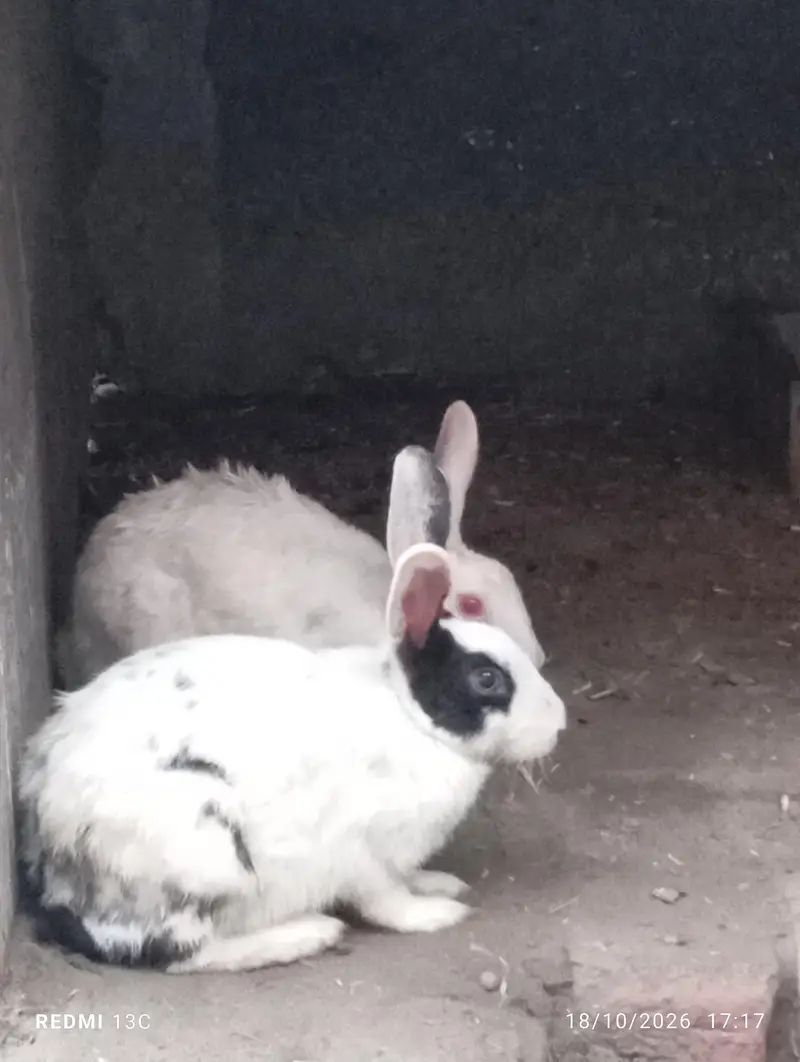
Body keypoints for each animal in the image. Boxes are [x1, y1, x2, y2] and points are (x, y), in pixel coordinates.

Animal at [19, 446, 567, 975]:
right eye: (486, 677)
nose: (558, 720)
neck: (408, 717)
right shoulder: (356, 848)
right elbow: (384, 899)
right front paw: (436, 913)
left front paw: (438, 883)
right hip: (204, 852)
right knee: (173, 951)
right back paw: (308, 934)